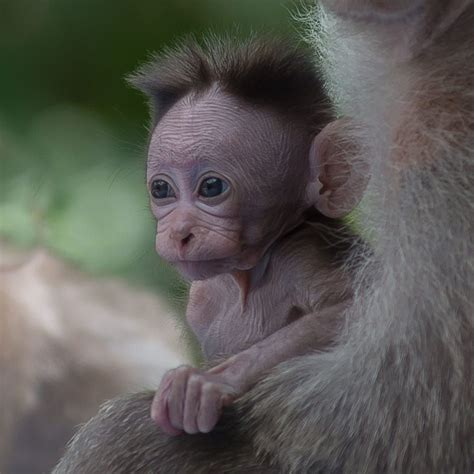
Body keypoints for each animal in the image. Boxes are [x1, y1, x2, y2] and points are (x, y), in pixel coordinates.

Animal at [130, 37, 366, 436]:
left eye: (211, 187)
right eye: (161, 190)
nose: (179, 232)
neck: (244, 279)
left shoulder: (302, 253)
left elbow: (357, 308)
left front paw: (215, 381)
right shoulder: (201, 299)